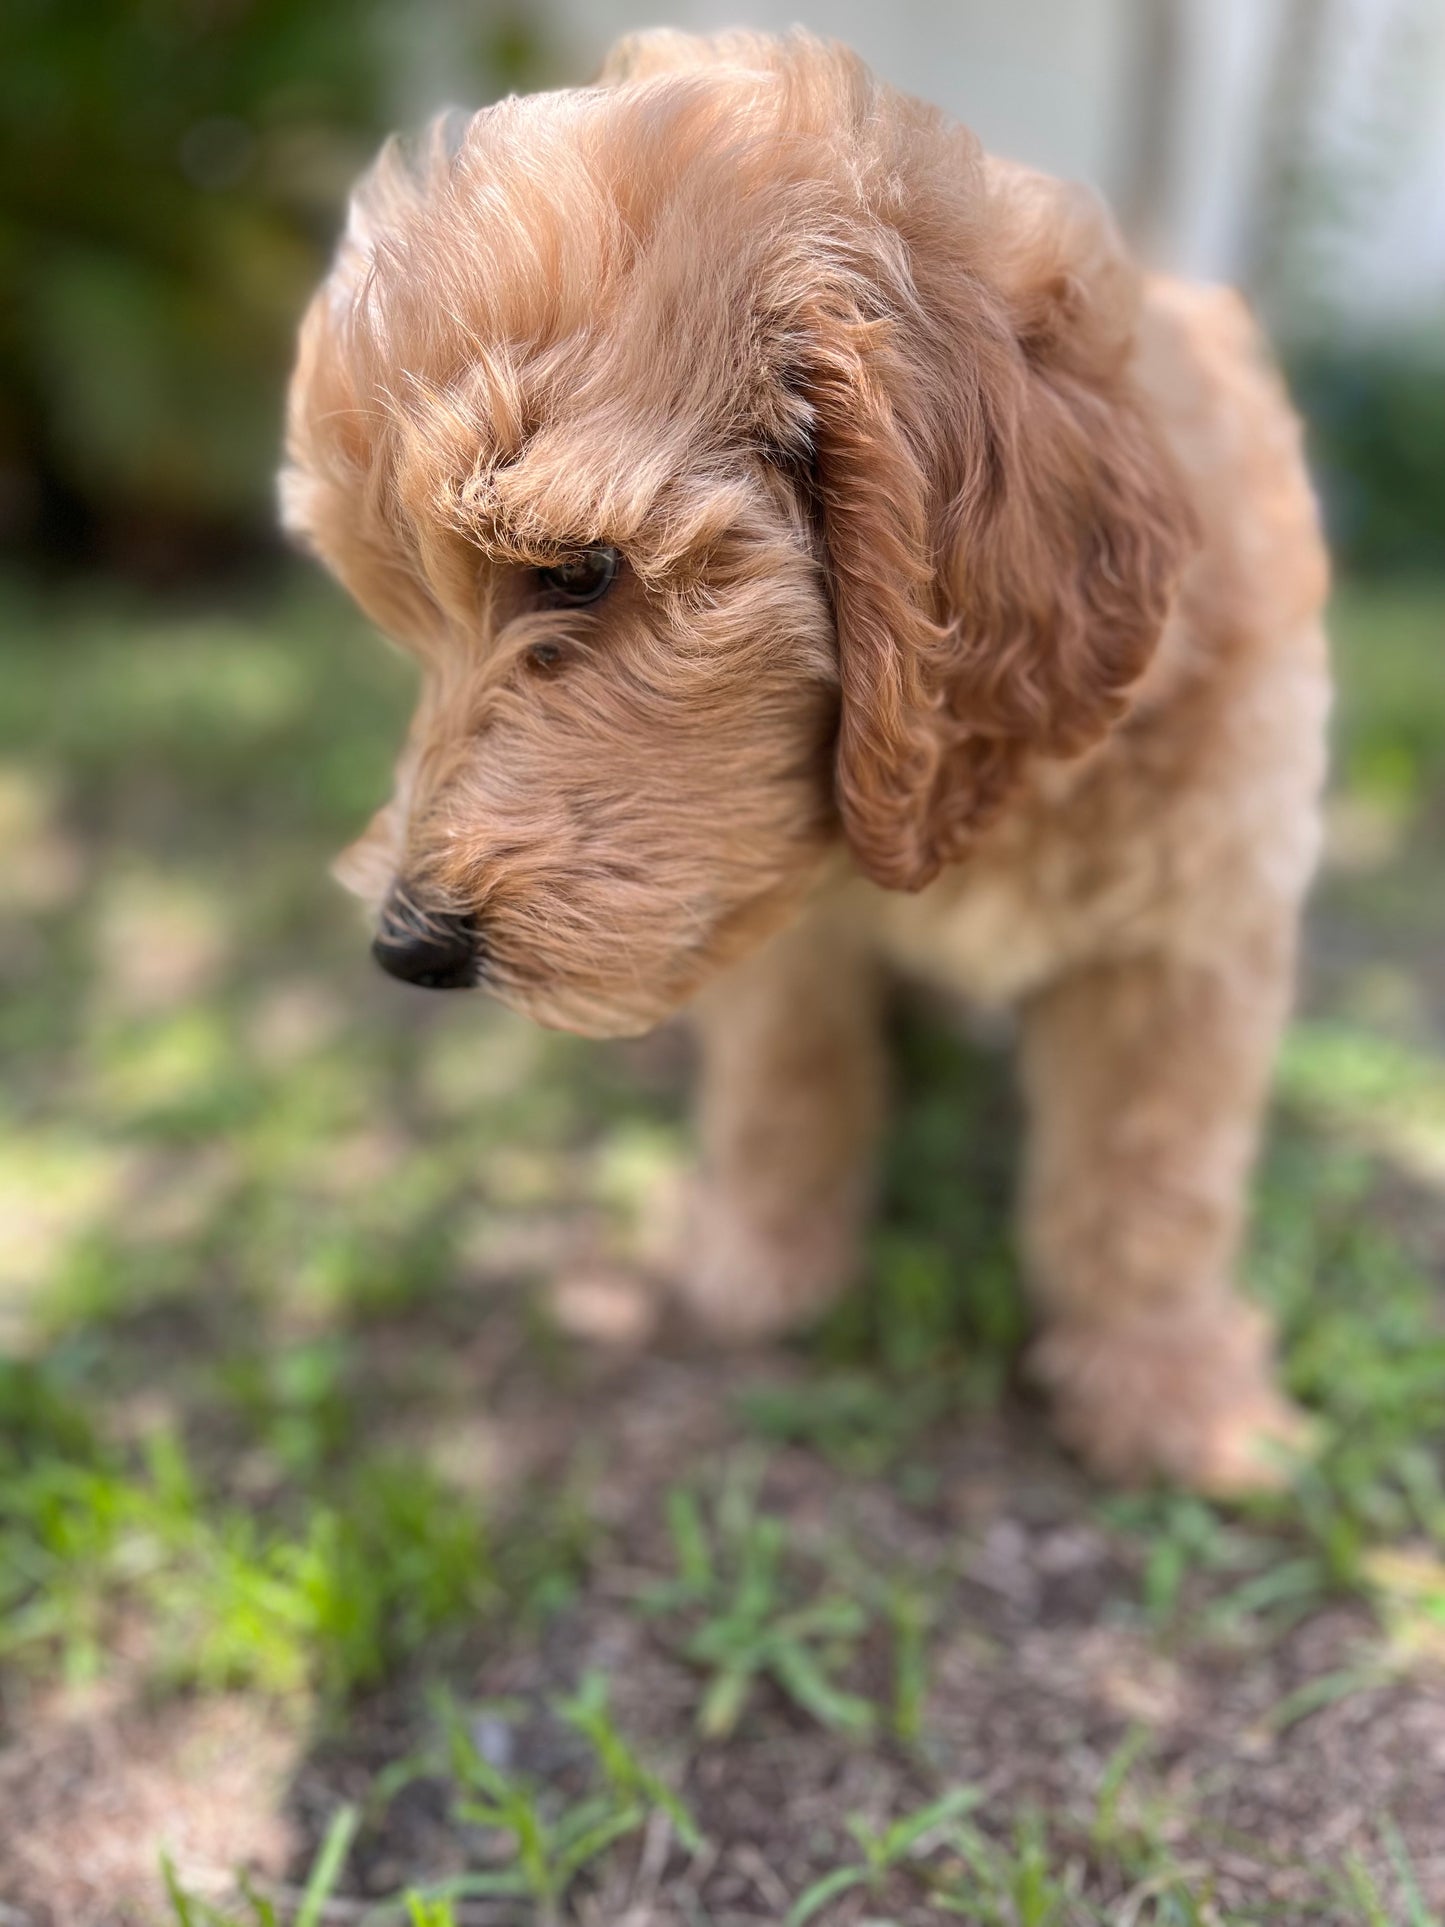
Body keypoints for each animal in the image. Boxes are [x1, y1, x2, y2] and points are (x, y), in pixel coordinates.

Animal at [283, 30, 1333, 1495]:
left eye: (579, 569)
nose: (406, 946)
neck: (982, 810)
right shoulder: (779, 929)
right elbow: (788, 1084)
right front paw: (759, 1265)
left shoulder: (1191, 932)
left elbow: (1152, 1167)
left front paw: (1174, 1393)